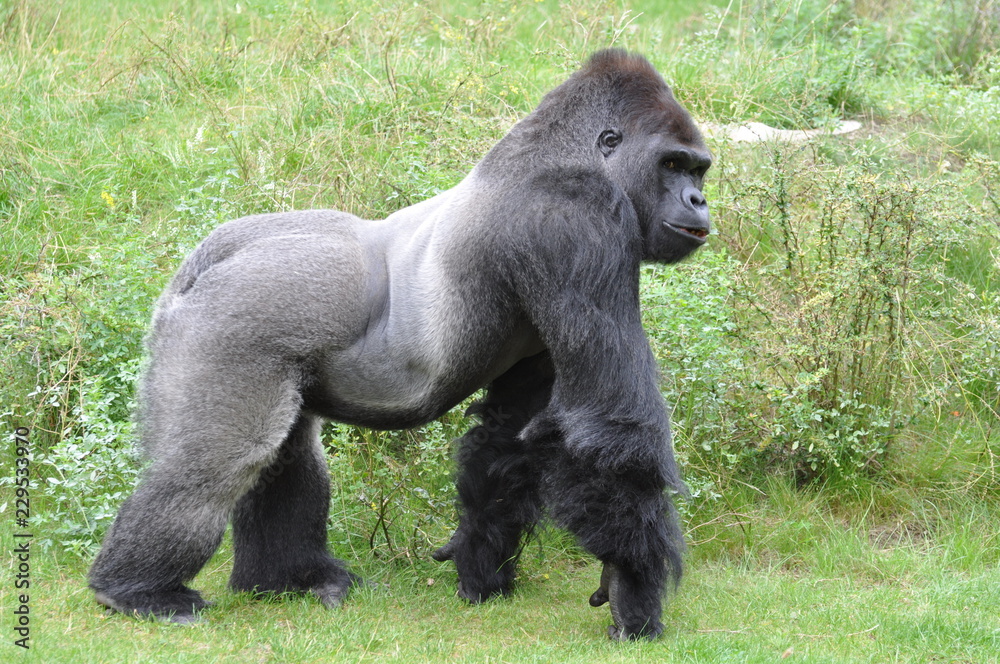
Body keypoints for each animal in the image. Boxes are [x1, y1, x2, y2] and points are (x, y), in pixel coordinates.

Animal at [88, 48, 711, 640]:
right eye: (672, 164)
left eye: (699, 170)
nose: (699, 202)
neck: (568, 153)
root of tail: (211, 256)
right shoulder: (580, 218)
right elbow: (608, 425)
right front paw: (633, 590)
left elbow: (509, 434)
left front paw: (480, 566)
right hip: (234, 319)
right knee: (216, 461)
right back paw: (137, 591)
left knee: (287, 454)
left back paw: (288, 579)